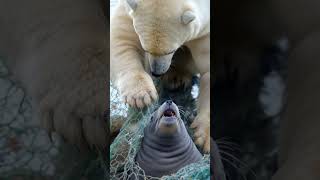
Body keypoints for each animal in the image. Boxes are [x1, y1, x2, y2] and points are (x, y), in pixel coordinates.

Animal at [111, 0, 211, 153]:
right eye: (145, 48)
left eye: (170, 50)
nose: (157, 72)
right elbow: (122, 36)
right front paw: (140, 96)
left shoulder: (206, 30)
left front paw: (204, 138)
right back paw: (174, 76)